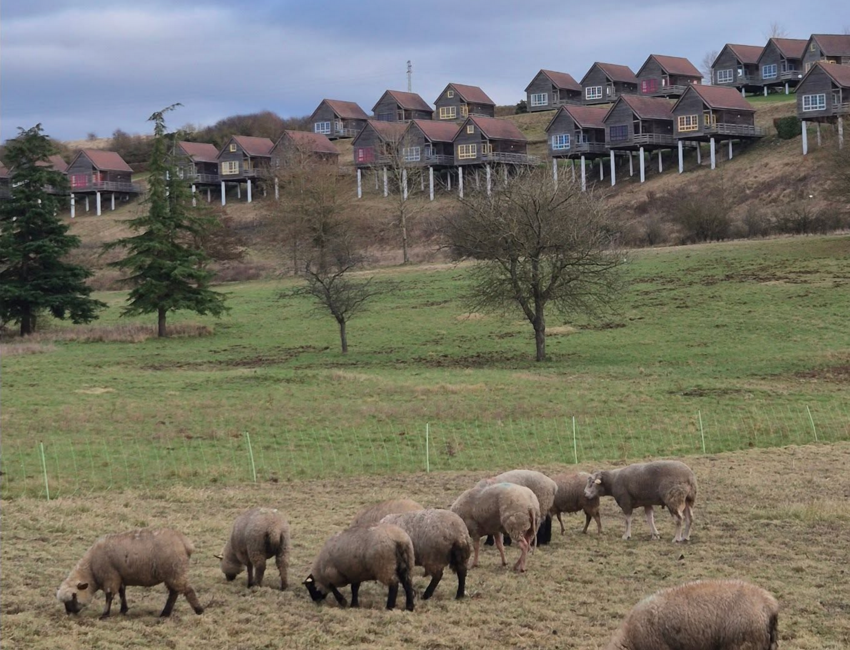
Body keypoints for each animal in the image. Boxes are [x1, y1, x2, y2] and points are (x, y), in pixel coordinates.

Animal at [56, 528, 203, 619]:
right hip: (172, 573)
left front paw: (105, 614)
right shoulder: (119, 576)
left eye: (74, 595)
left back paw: (198, 610)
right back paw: (165, 613)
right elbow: (122, 593)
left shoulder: (110, 577)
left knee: (187, 590)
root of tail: (185, 543)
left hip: (175, 570)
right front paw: (123, 610)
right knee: (174, 593)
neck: (91, 569)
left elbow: (109, 596)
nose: (70, 614)